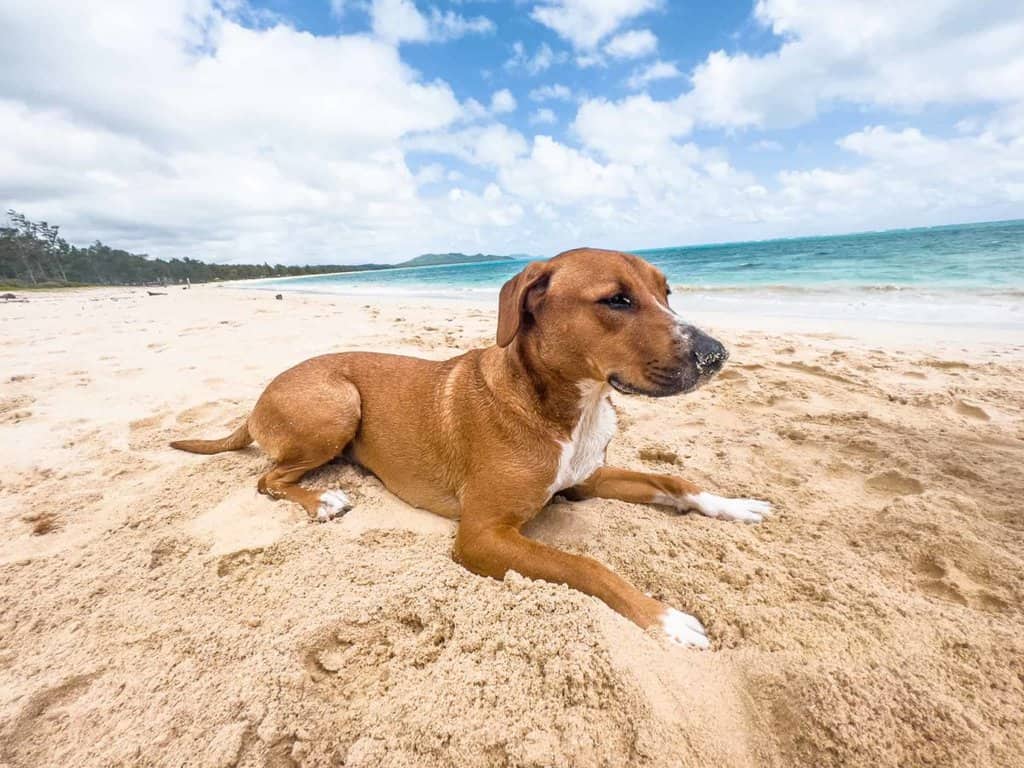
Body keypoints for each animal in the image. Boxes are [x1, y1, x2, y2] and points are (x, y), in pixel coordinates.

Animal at [172, 249, 770, 647]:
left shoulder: (587, 479)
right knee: (268, 479)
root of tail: (257, 400)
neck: (569, 406)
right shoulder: (482, 535)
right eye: (616, 300)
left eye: (667, 293)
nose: (718, 354)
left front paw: (733, 504)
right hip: (338, 403)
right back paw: (323, 500)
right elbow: (586, 565)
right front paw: (664, 617)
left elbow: (674, 481)